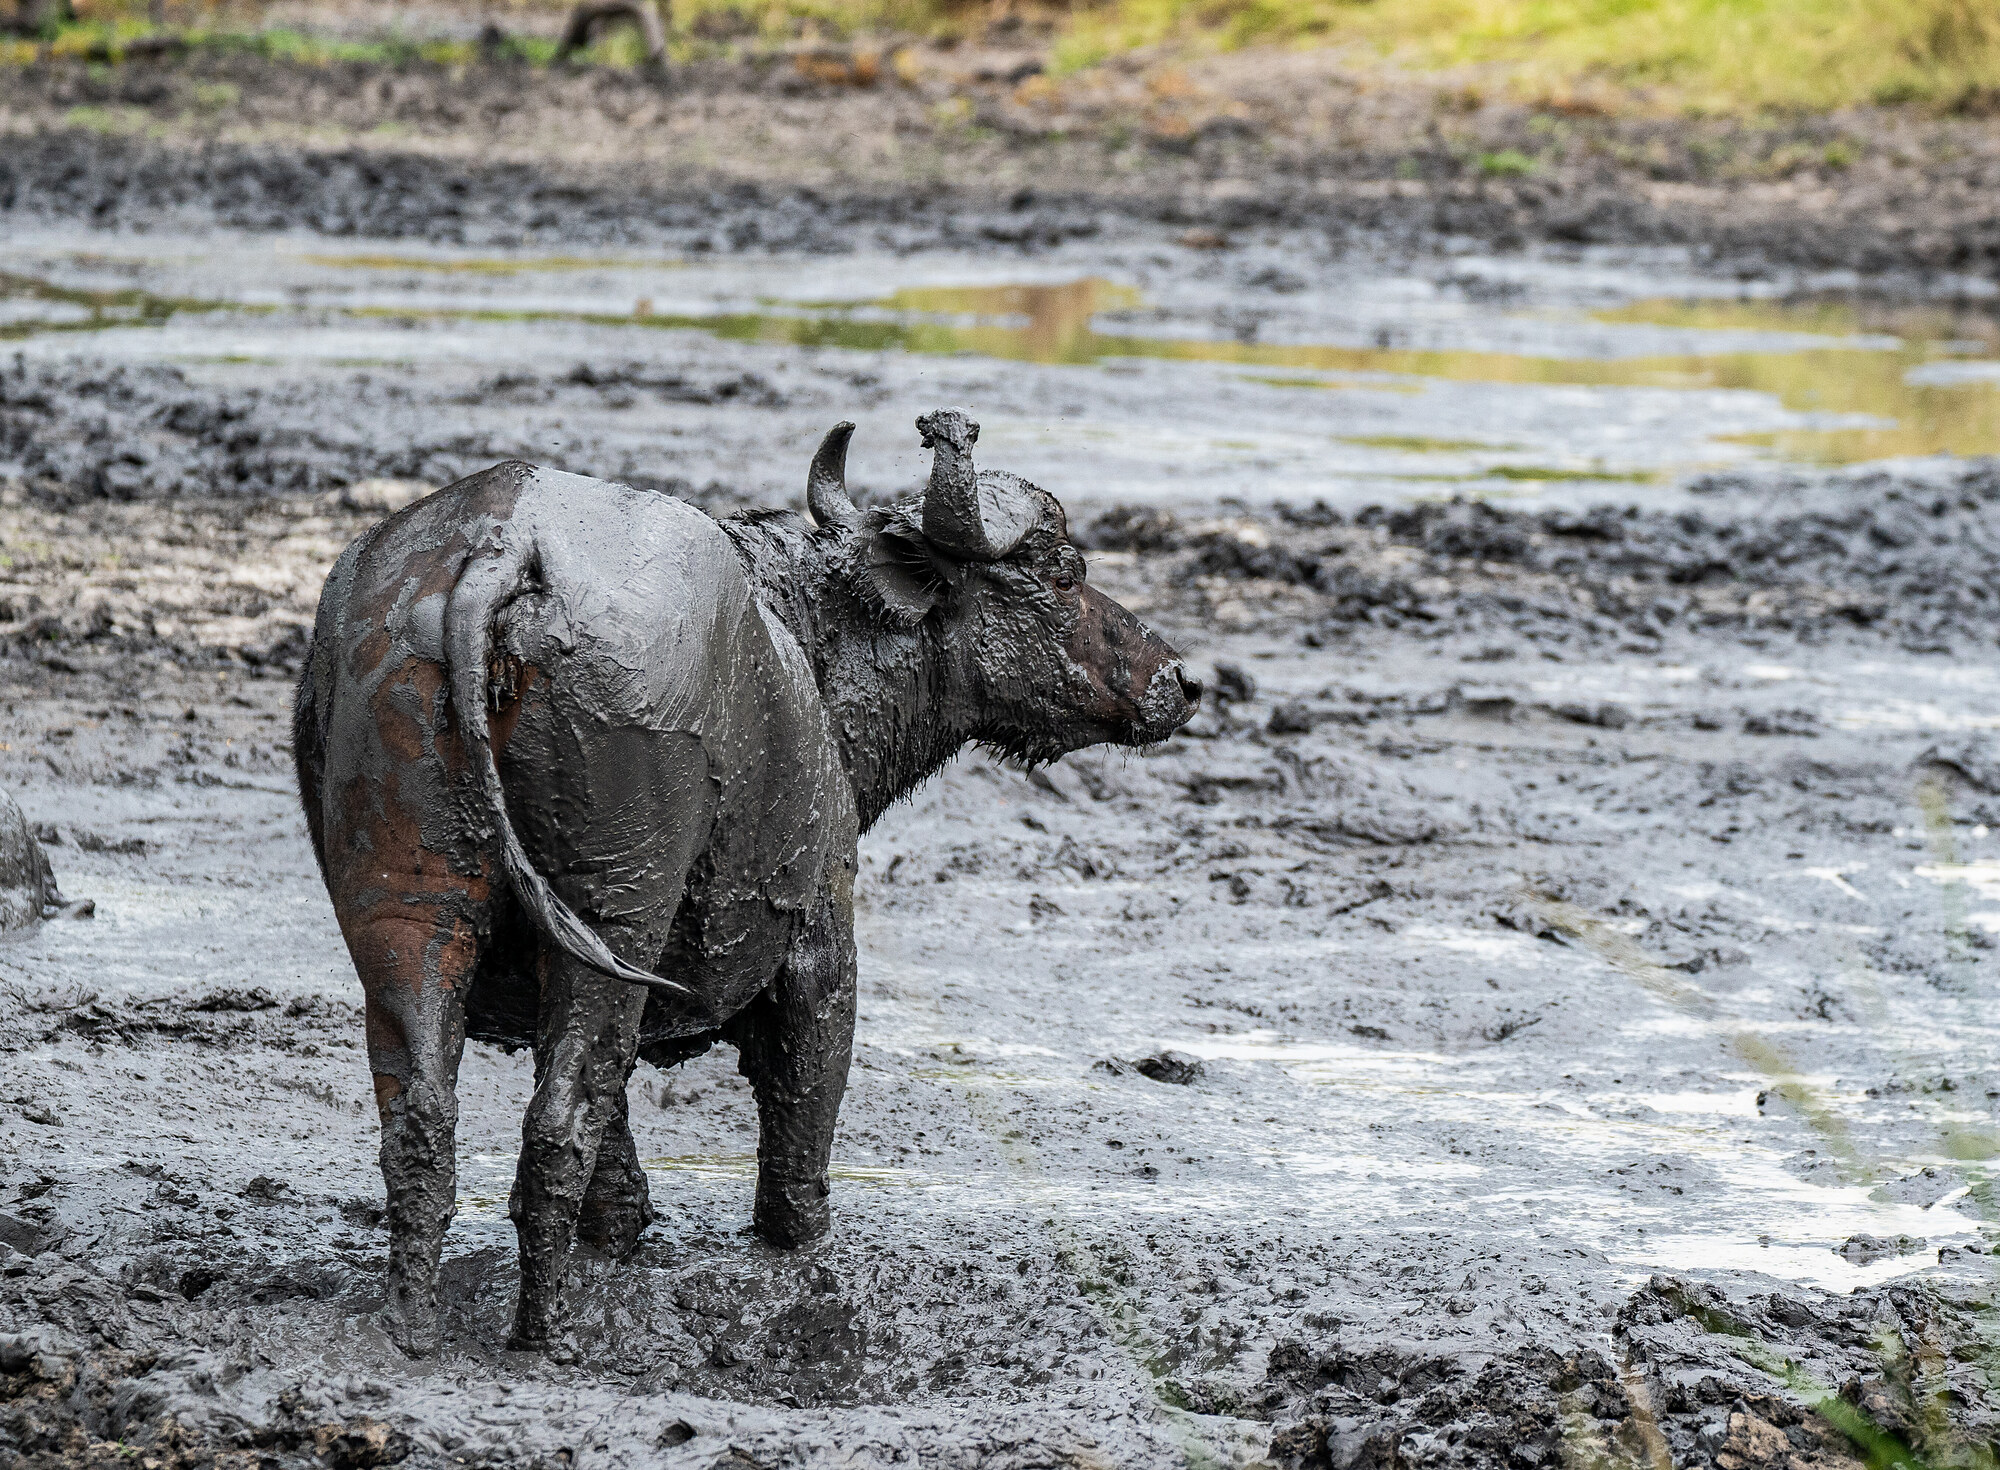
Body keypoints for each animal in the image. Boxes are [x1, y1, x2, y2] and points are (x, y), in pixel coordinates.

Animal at [292, 409, 1200, 1354]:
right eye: (1061, 574)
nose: (1182, 680)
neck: (801, 651)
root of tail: (507, 546)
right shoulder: (821, 944)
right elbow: (801, 1112)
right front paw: (798, 1240)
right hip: (615, 911)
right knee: (558, 1121)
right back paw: (548, 1332)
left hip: (408, 907)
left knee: (424, 1114)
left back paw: (410, 1321)